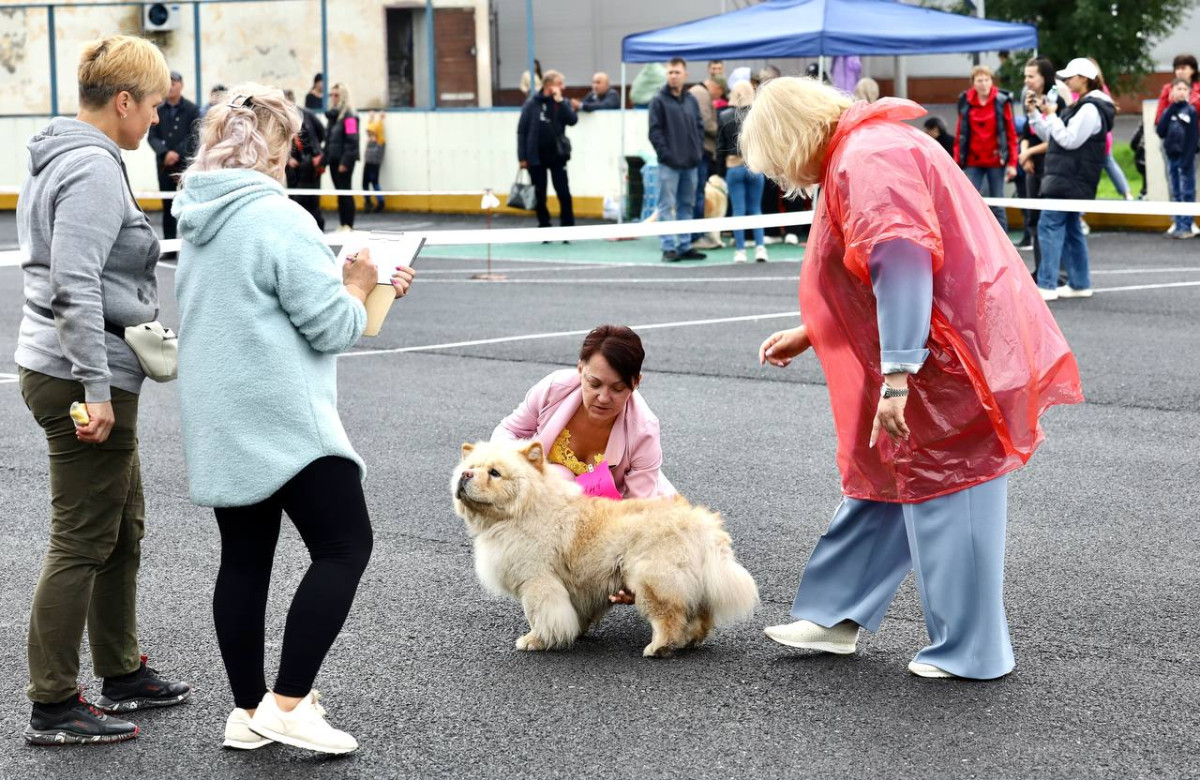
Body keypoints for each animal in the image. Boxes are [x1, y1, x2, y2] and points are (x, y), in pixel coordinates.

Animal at [451, 441, 758, 652]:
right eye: (470, 468)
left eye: (494, 473)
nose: (465, 475)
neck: (526, 511)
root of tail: (702, 523)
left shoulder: (538, 581)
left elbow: (541, 614)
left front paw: (535, 641)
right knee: (700, 617)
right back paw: (689, 642)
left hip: (652, 581)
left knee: (669, 616)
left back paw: (659, 648)